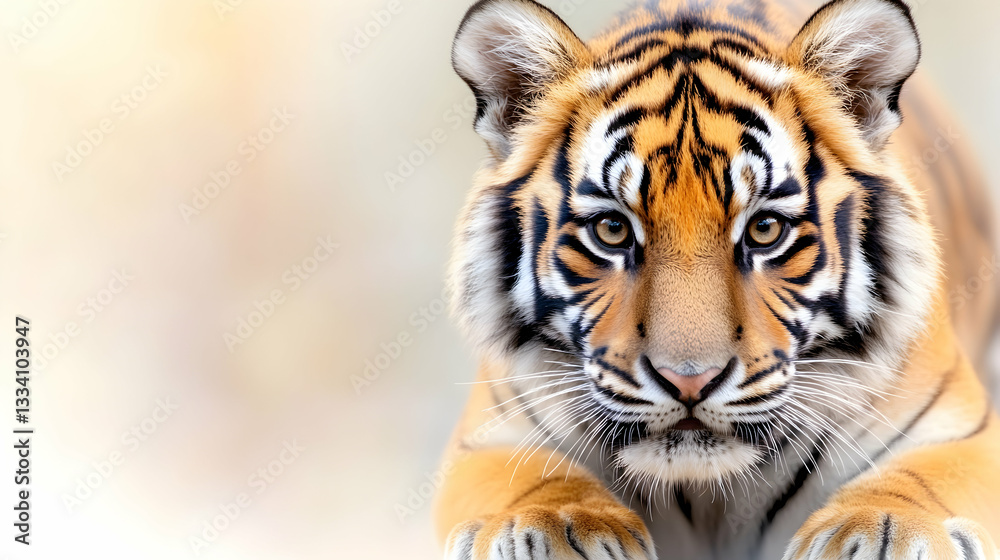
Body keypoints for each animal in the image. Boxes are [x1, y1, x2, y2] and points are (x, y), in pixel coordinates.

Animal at [435, 0, 1000, 558]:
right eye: (612, 229)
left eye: (765, 229)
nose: (689, 380)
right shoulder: (491, 437)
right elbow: (535, 481)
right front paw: (556, 525)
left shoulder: (955, 430)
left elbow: (917, 480)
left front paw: (880, 531)